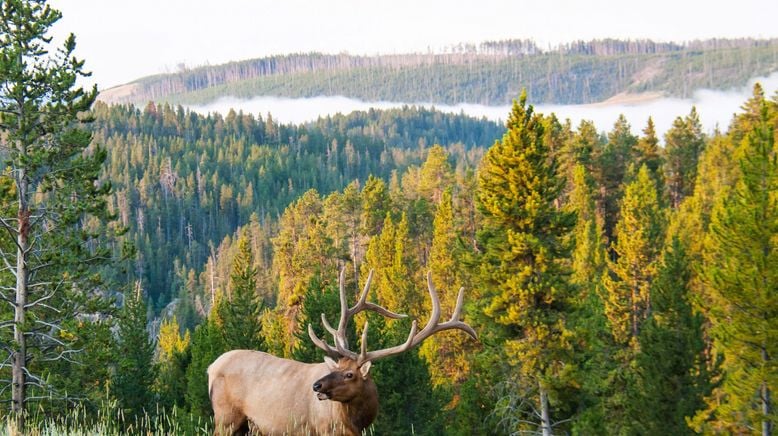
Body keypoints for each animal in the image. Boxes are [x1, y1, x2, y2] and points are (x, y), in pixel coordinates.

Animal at [208, 268, 472, 434]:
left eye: (349, 374)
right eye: (339, 367)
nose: (316, 386)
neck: (355, 424)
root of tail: (211, 367)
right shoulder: (323, 429)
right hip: (225, 417)